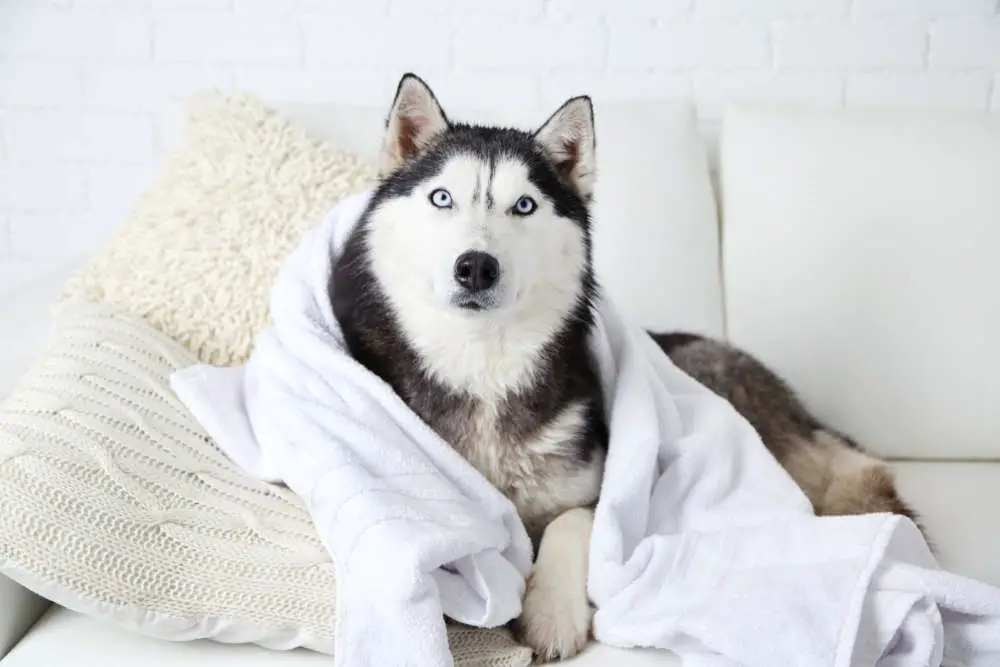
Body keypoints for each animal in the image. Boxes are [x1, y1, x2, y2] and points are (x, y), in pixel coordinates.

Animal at [332, 74, 916, 664]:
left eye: (524, 205)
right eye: (442, 197)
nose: (476, 267)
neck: (483, 366)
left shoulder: (600, 488)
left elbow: (573, 520)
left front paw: (553, 610)